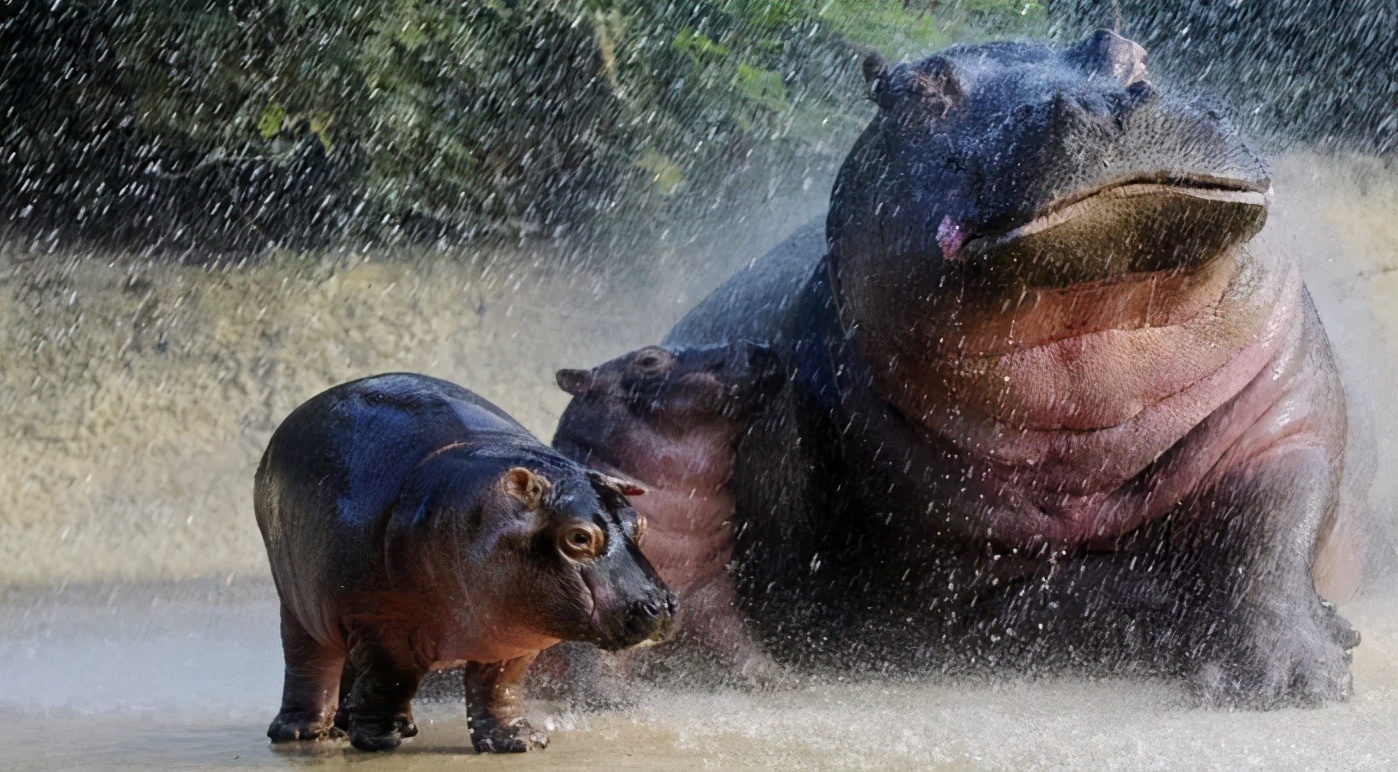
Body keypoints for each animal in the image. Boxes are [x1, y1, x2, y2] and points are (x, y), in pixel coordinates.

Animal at [254, 374, 673, 755]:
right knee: (309, 660)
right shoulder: (384, 625)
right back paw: (300, 732)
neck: (478, 514)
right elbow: (390, 679)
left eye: (640, 523)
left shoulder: (512, 636)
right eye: (579, 537)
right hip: (299, 601)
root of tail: (301, 411)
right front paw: (380, 739)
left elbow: (500, 687)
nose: (662, 605)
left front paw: (519, 740)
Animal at [548, 341, 788, 679]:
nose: (755, 344)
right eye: (649, 359)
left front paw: (778, 678)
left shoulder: (713, 593)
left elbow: (742, 647)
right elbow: (594, 670)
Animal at [671, 30, 1358, 704]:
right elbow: (1074, 594)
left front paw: (1295, 675)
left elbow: (1271, 531)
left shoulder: (1286, 416)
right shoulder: (938, 568)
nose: (1110, 104)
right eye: (915, 91)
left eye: (1131, 51)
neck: (1098, 330)